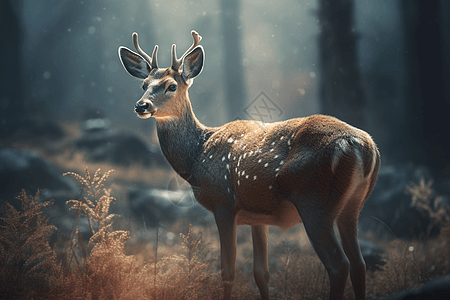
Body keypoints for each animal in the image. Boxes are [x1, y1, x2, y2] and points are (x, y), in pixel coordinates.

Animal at [118, 31, 380, 300]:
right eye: (144, 85)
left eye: (171, 86)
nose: (142, 106)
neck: (197, 154)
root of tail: (361, 146)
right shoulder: (258, 216)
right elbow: (261, 273)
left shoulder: (223, 203)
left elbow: (227, 271)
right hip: (352, 206)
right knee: (359, 263)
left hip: (315, 203)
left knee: (339, 264)